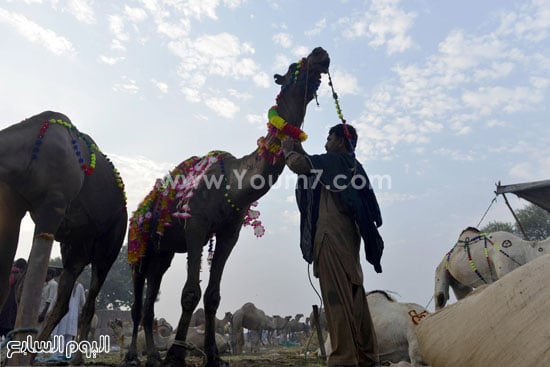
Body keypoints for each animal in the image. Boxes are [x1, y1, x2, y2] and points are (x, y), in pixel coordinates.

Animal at [0, 111, 126, 366]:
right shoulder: (12, 203)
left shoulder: (53, 207)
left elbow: (28, 288)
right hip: (74, 249)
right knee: (63, 301)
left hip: (110, 243)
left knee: (89, 303)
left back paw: (74, 359)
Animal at [125, 46, 330, 367]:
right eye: (293, 66)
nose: (321, 53)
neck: (232, 183)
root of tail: (139, 210)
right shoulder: (196, 226)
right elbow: (190, 292)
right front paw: (176, 355)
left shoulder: (228, 233)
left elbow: (212, 296)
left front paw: (213, 356)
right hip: (140, 245)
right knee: (137, 300)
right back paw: (135, 355)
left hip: (163, 252)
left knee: (149, 301)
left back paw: (153, 357)